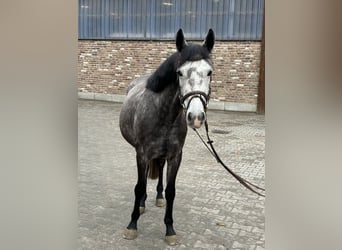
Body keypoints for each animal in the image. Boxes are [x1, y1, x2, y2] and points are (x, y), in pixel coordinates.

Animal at [118, 28, 214, 245]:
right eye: (179, 72)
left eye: (209, 72)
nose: (196, 117)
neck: (163, 114)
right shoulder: (142, 154)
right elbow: (139, 186)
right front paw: (132, 225)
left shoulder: (175, 156)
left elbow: (171, 191)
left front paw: (170, 229)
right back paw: (142, 204)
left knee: (159, 168)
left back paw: (158, 197)